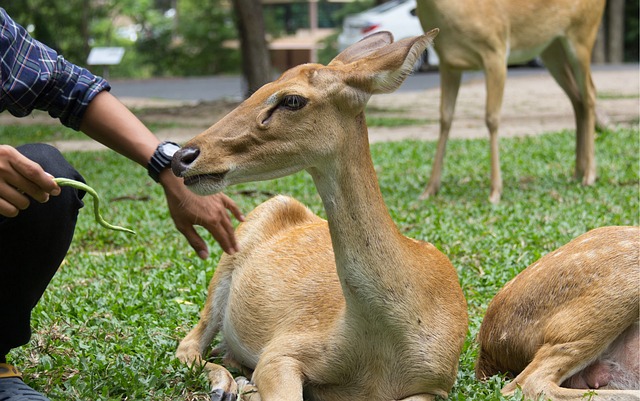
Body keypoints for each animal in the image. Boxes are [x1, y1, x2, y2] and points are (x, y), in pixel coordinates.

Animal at [171, 31, 470, 400]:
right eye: (261, 88)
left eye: (292, 99)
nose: (183, 156)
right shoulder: (283, 348)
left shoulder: (438, 382)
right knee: (189, 343)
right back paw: (226, 384)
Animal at [416, 0, 604, 203]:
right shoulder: (448, 63)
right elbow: (445, 118)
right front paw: (429, 189)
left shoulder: (495, 49)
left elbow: (491, 118)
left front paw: (495, 191)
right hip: (552, 48)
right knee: (577, 99)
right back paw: (578, 172)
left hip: (583, 34)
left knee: (590, 93)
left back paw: (590, 175)